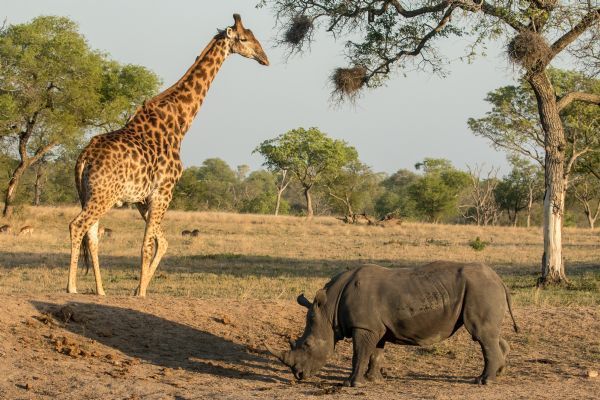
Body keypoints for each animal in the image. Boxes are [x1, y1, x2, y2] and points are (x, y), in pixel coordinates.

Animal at [67, 14, 270, 296]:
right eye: (243, 38)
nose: (264, 58)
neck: (179, 123)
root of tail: (84, 157)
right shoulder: (164, 191)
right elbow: (148, 244)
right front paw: (141, 292)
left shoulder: (143, 198)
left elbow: (161, 242)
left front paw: (138, 289)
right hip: (103, 195)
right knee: (77, 225)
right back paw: (72, 287)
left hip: (90, 194)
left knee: (92, 234)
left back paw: (100, 290)